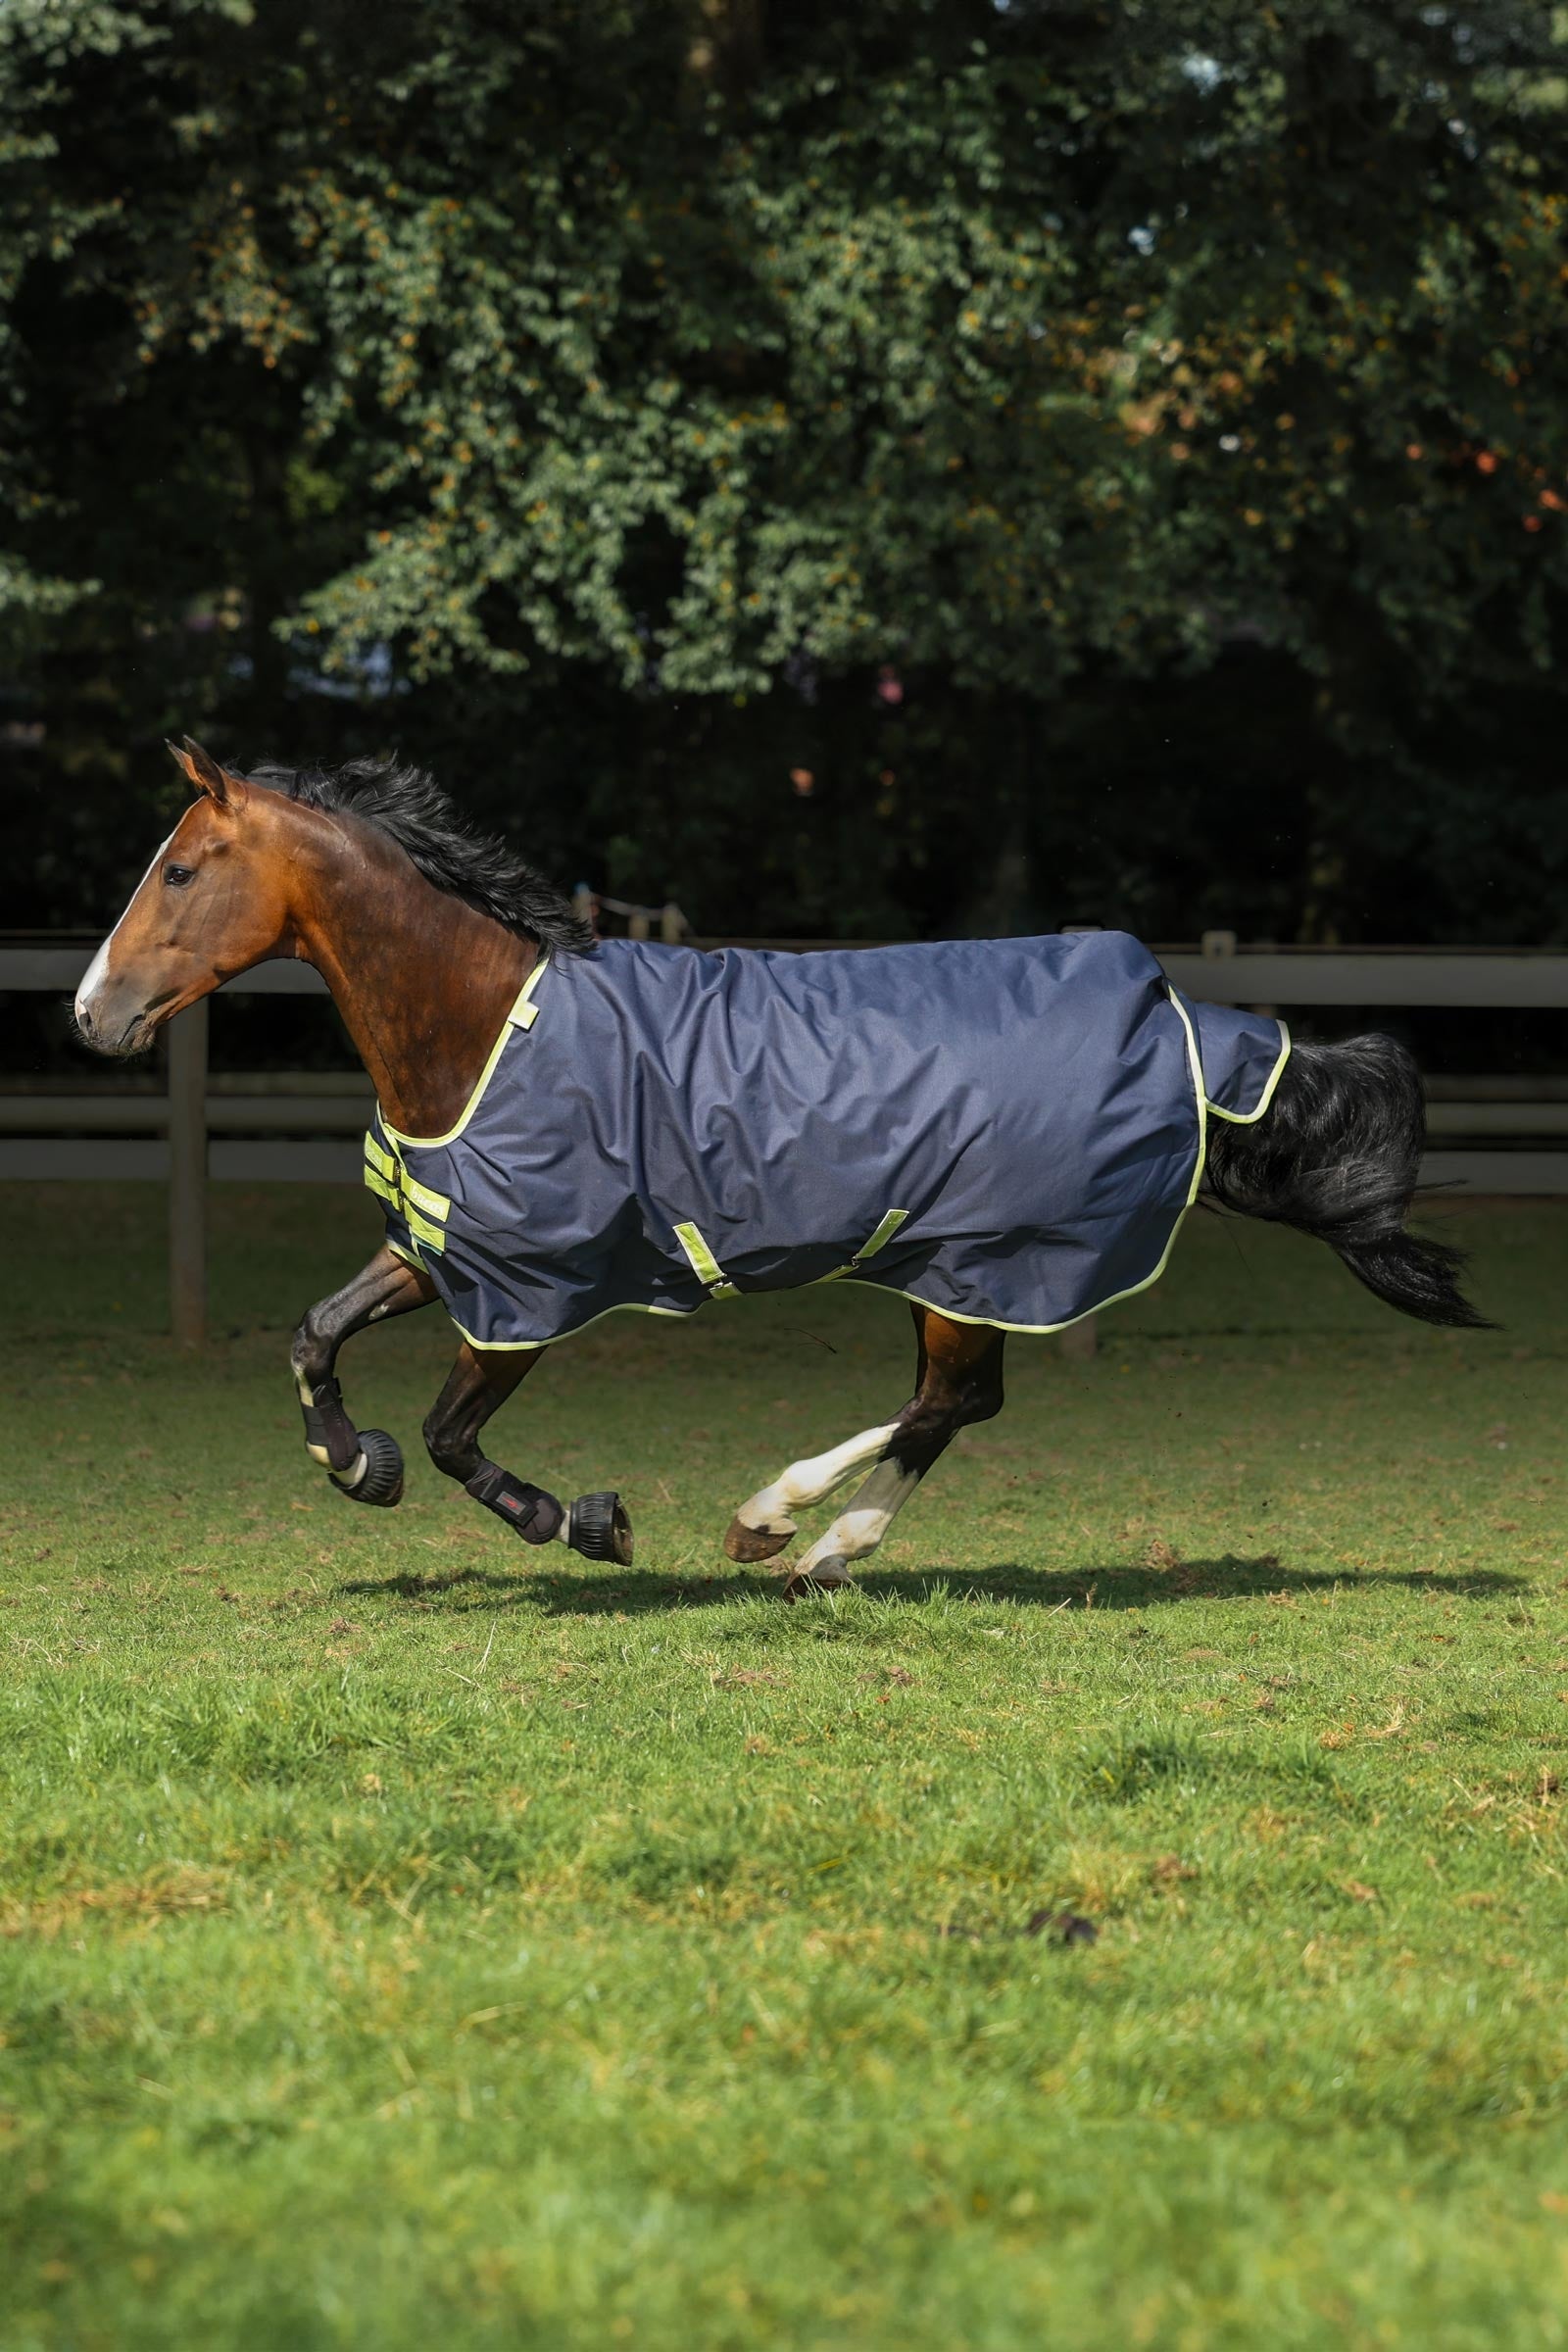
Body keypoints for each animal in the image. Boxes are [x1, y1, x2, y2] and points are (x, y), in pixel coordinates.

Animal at [74, 739, 1486, 1597]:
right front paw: (349, 1462)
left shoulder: (532, 1289)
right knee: (959, 1406)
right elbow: (315, 1335)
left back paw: (778, 1519)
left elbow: (453, 1432)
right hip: (958, 1269)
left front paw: (579, 1521)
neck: (488, 1026)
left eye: (181, 869)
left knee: (947, 1403)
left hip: (985, 1260)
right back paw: (821, 1552)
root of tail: (1183, 1027)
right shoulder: (450, 1244)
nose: (92, 1013)